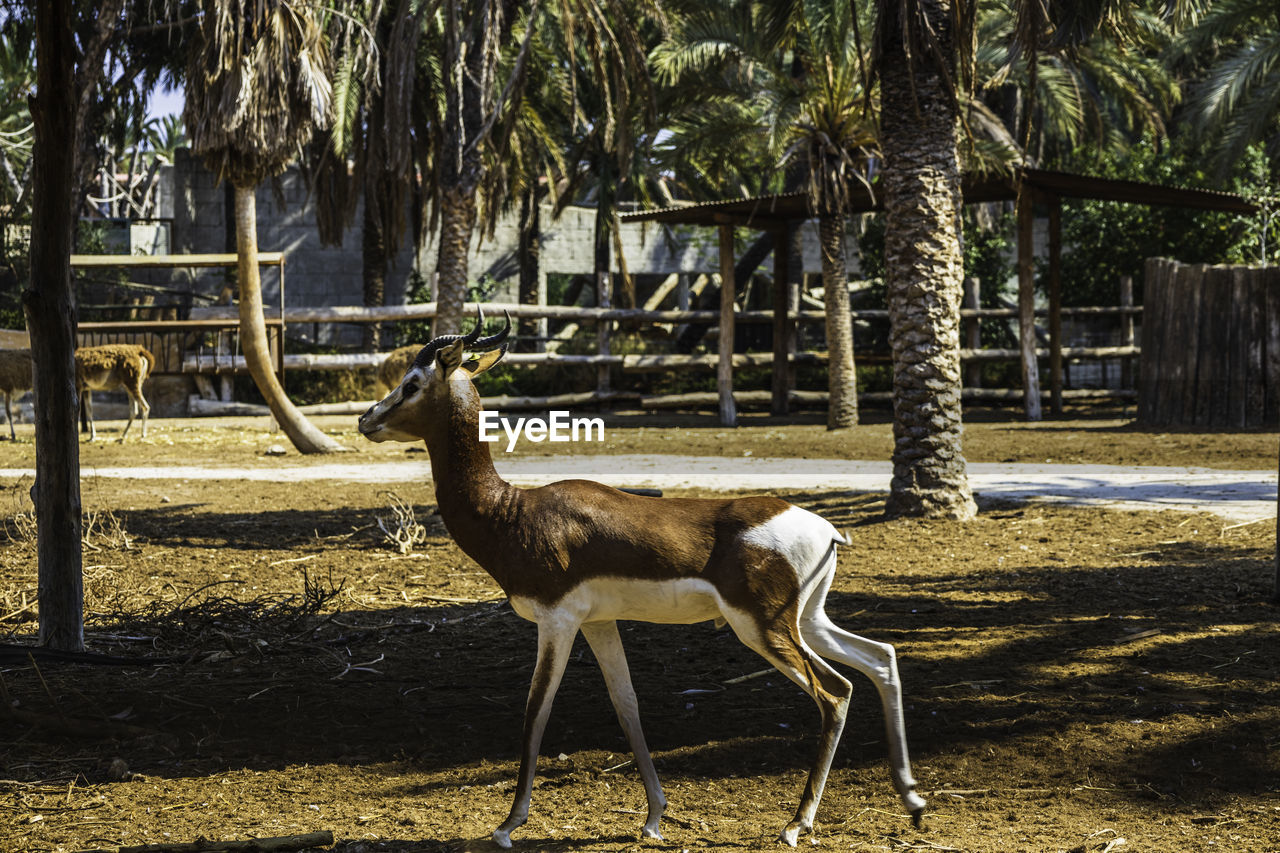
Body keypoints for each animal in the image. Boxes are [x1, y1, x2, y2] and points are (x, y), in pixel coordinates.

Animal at [355, 307, 926, 845]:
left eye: (411, 382)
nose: (366, 420)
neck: (512, 512)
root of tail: (825, 529)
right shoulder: (597, 622)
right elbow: (626, 705)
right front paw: (654, 818)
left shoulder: (556, 620)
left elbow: (537, 710)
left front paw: (507, 825)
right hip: (808, 621)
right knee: (882, 657)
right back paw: (912, 800)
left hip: (762, 627)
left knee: (835, 692)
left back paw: (795, 824)